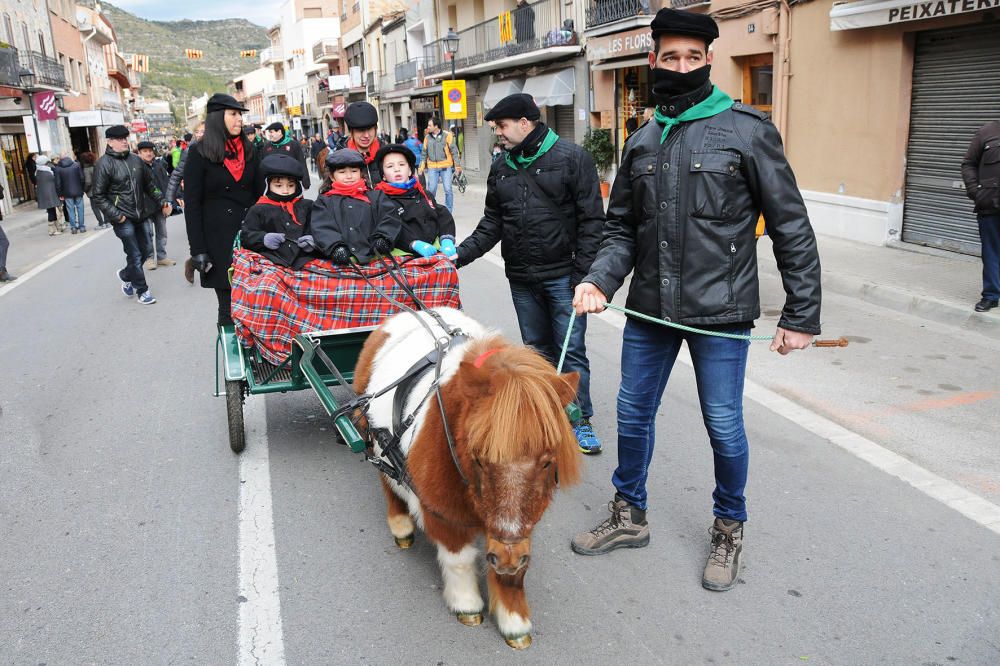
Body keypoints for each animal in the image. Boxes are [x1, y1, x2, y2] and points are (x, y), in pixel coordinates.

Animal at [354, 308, 584, 648]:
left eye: (547, 462)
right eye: (478, 458)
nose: (506, 558)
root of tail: (409, 313)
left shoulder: (520, 529)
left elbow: (515, 572)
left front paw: (514, 622)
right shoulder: (440, 510)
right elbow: (459, 557)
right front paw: (467, 605)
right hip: (375, 440)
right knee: (387, 481)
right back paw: (401, 526)